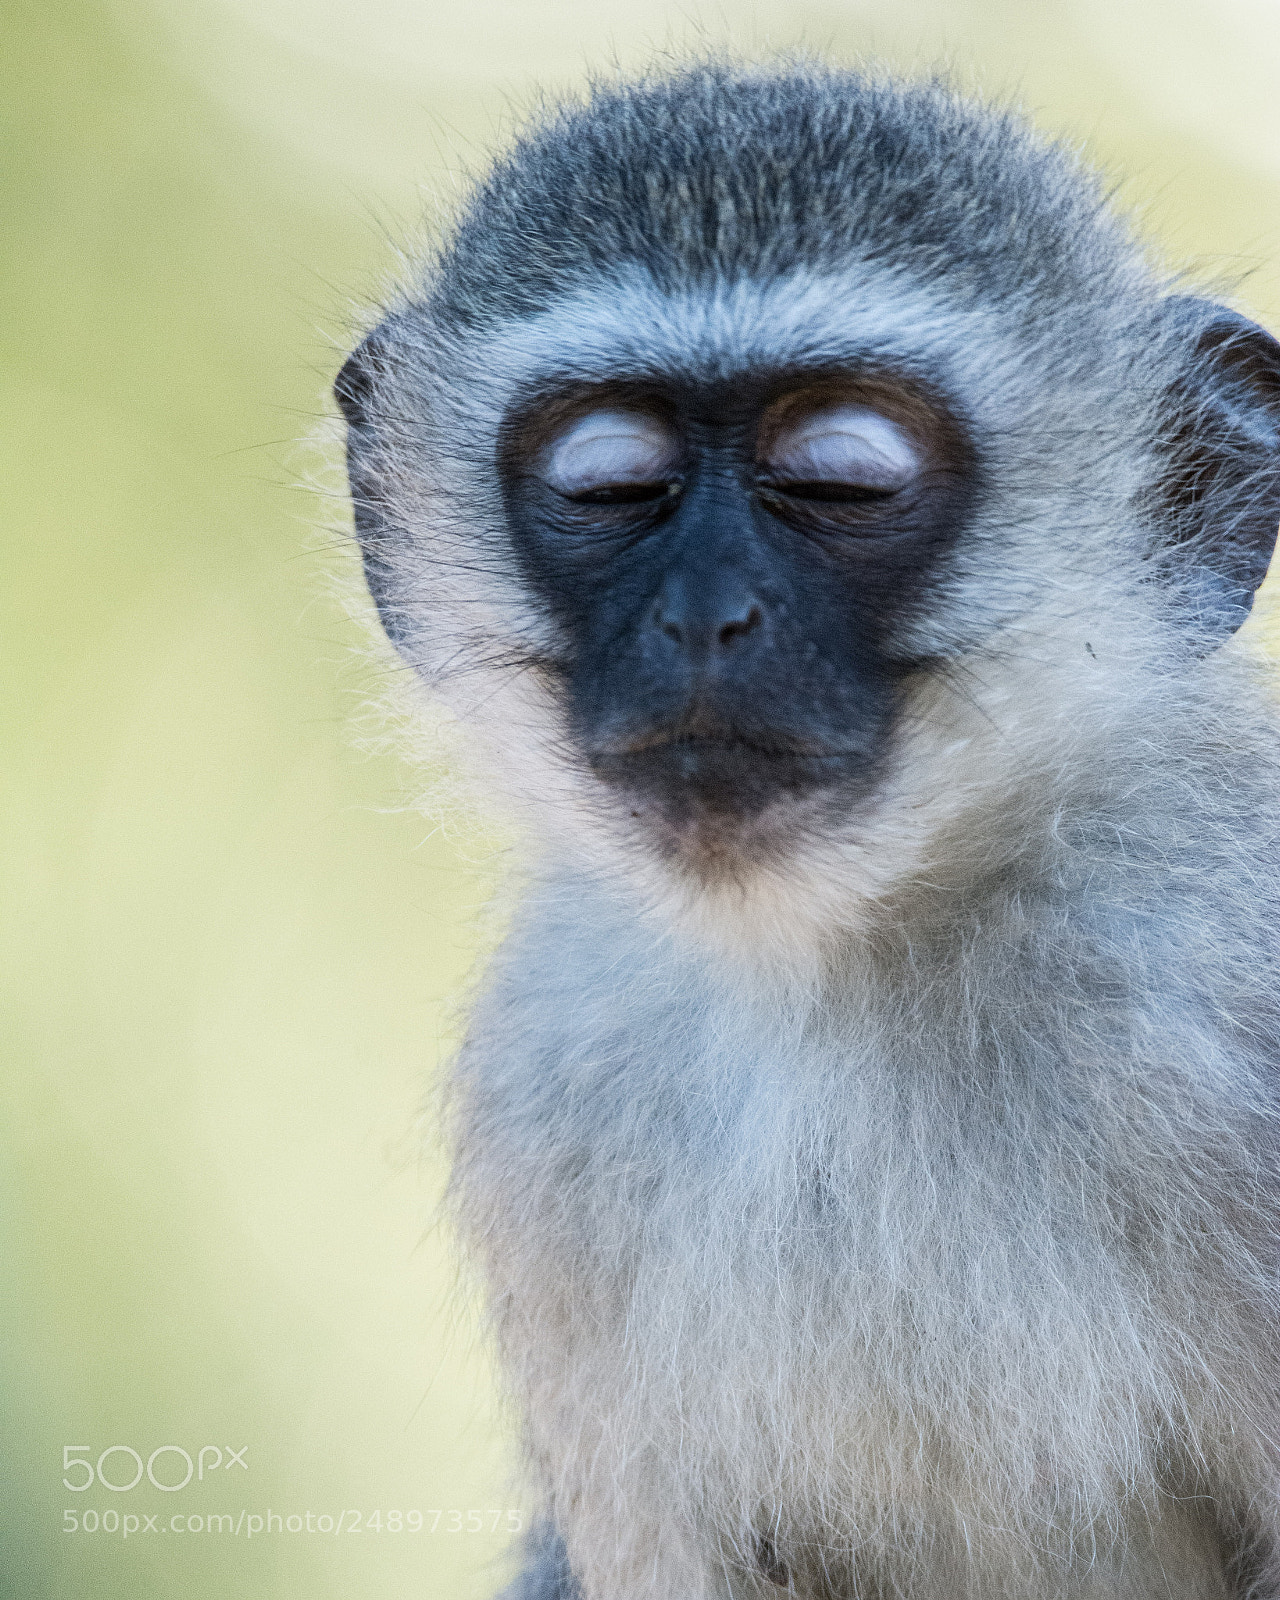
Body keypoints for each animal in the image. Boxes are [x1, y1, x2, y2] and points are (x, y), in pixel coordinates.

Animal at [334, 60, 1280, 1600]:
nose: (703, 615)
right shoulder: (550, 1091)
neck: (832, 960)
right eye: (612, 486)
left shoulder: (1216, 982)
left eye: (840, 480)